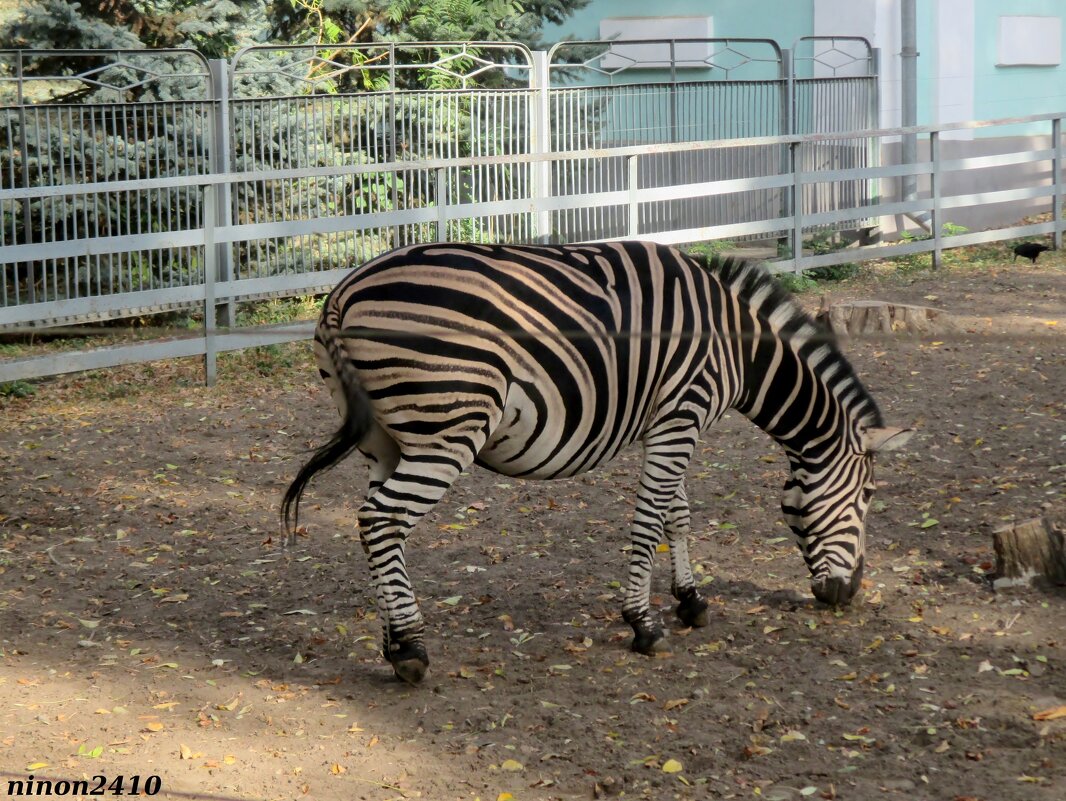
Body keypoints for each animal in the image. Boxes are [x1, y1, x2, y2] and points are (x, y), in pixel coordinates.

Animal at [281, 239, 908, 682]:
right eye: (868, 497)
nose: (849, 593)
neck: (738, 346)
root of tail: (343, 291)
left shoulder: (668, 424)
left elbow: (678, 515)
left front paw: (691, 600)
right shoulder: (682, 415)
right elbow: (650, 521)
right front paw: (644, 624)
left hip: (386, 438)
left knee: (378, 526)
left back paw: (391, 641)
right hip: (448, 429)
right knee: (382, 519)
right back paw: (411, 649)